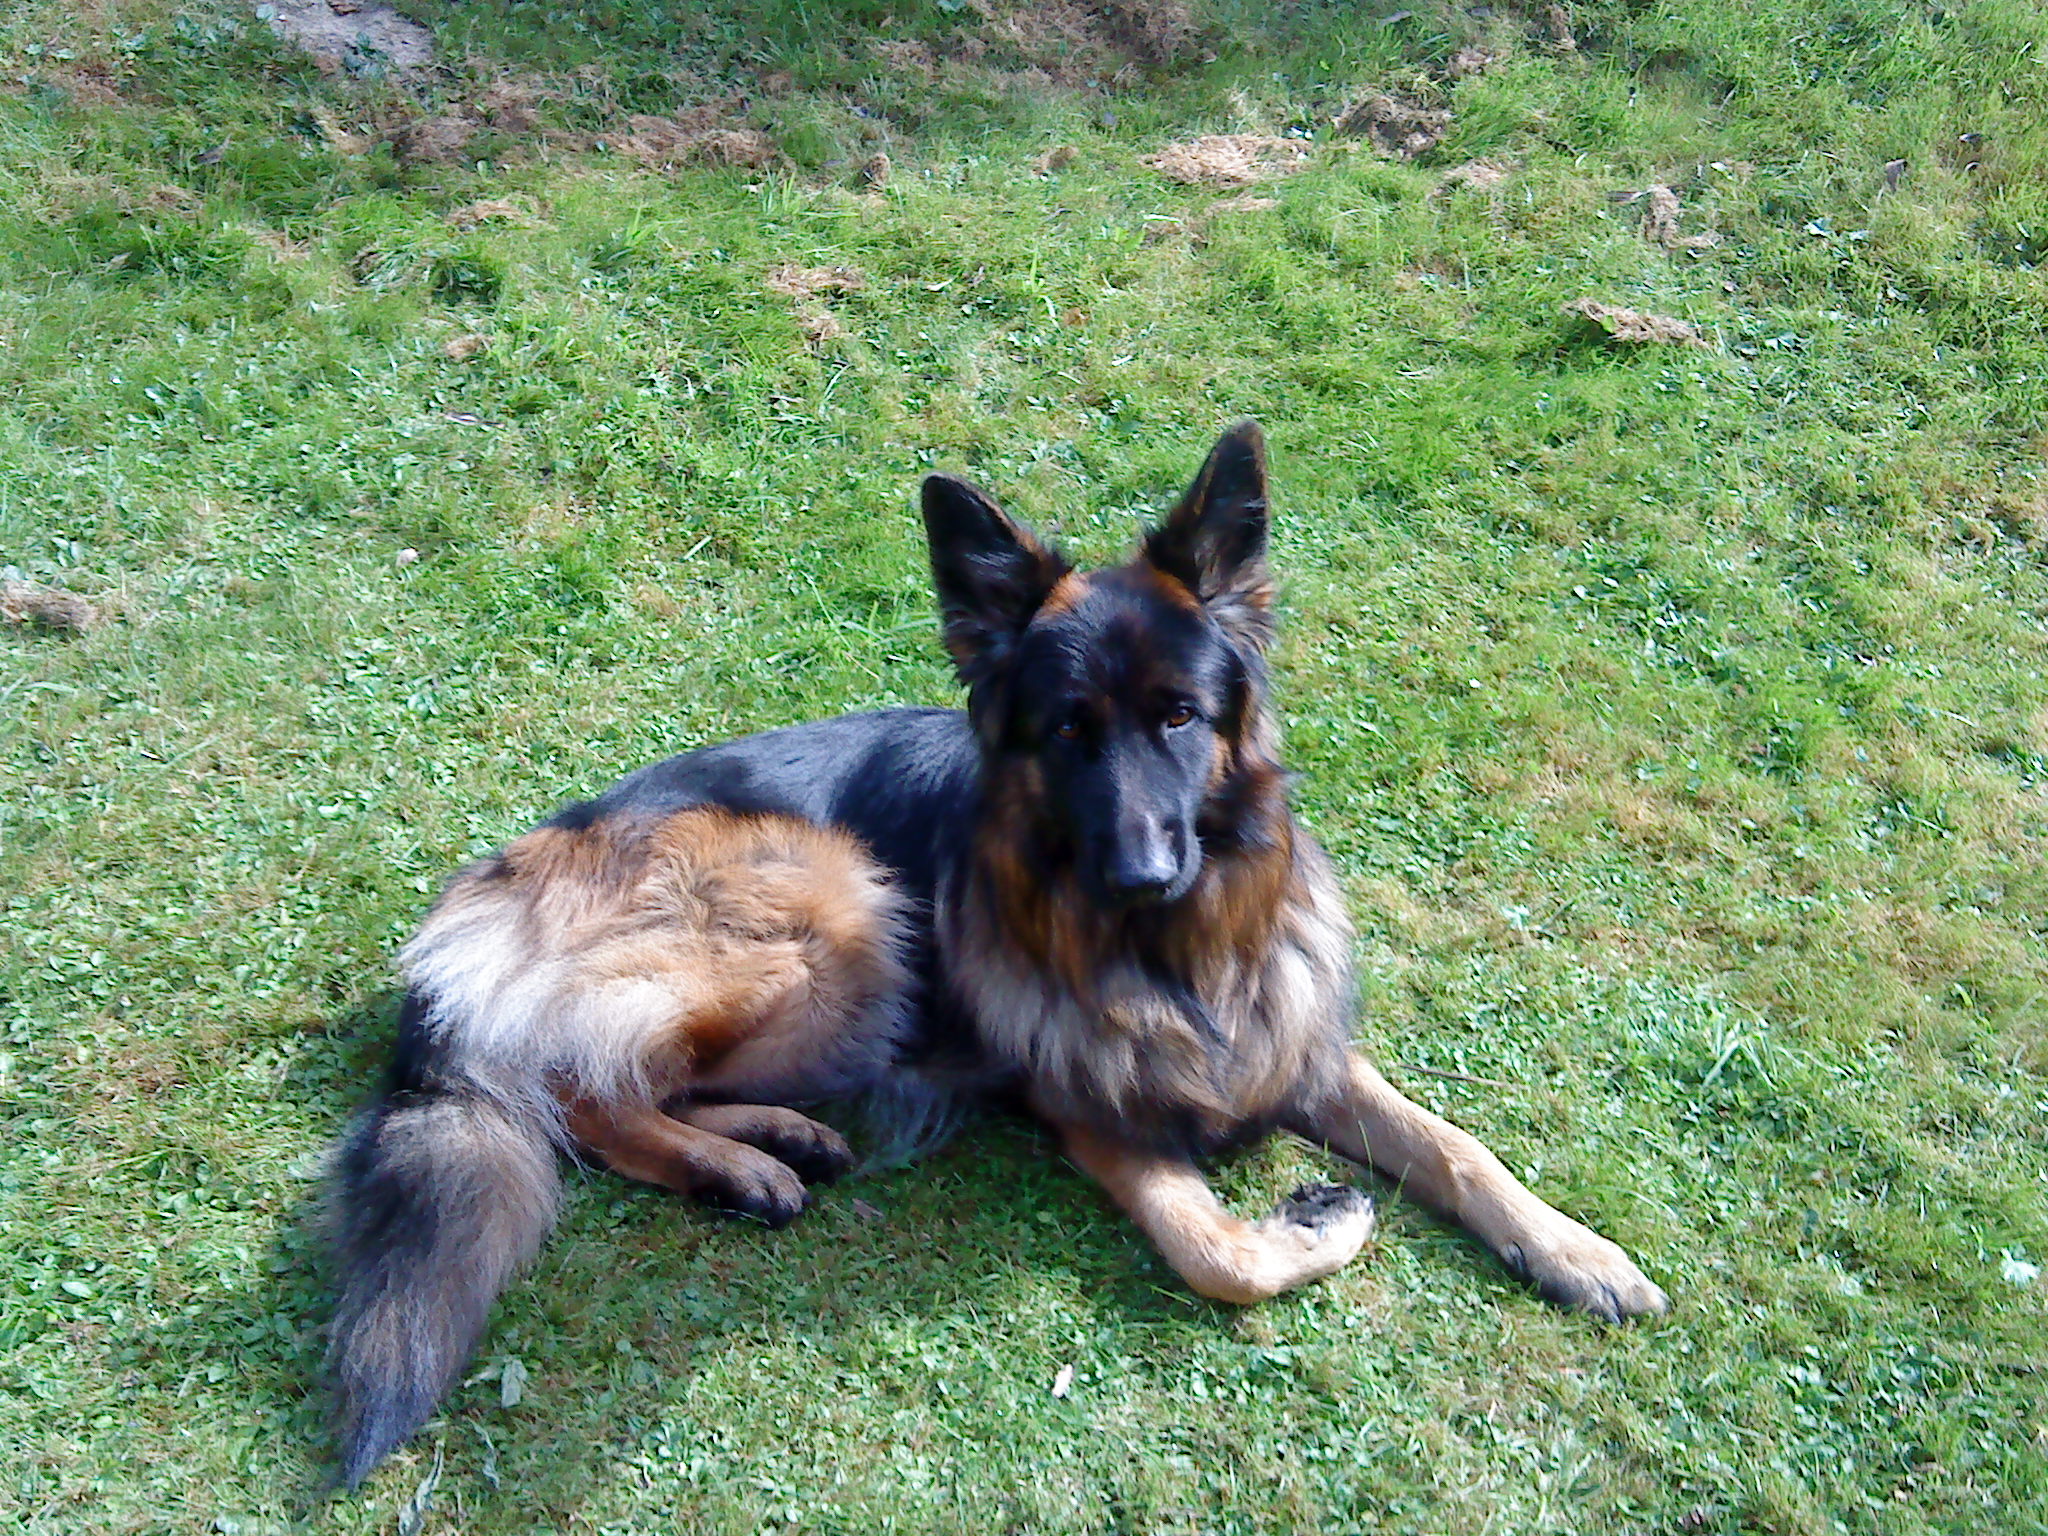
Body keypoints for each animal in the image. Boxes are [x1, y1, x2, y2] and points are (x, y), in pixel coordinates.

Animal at [326, 421, 1667, 1487]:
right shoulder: (1082, 1101)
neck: (1168, 951)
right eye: (1066, 732)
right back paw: (735, 1167)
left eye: (1179, 718)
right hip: (843, 912)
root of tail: (488, 888)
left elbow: (1457, 1147)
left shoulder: (1292, 1045)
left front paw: (1577, 1251)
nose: (1141, 872)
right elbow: (1214, 1254)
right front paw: (1318, 1224)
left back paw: (777, 1139)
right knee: (579, 1090)